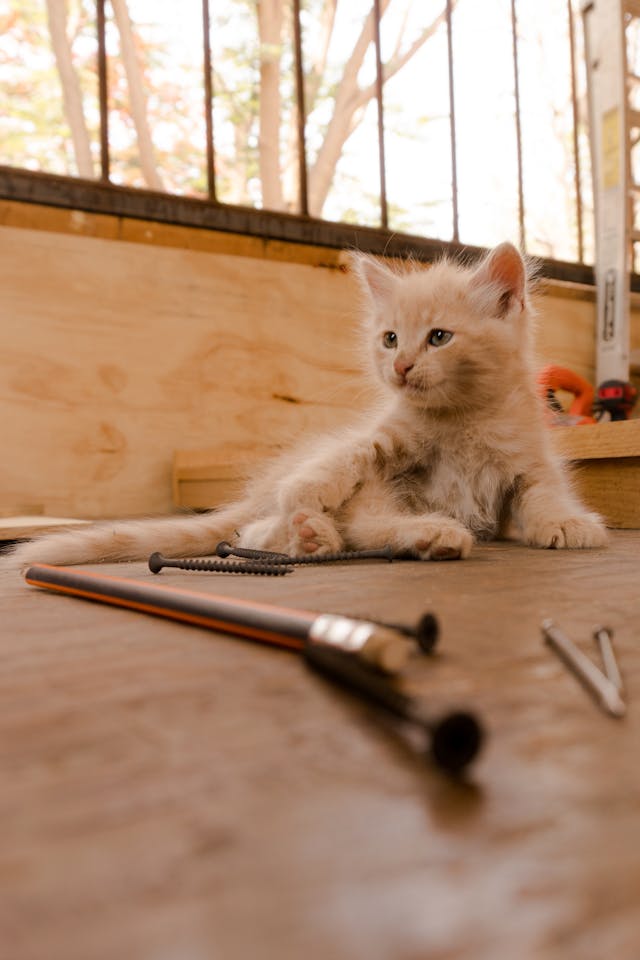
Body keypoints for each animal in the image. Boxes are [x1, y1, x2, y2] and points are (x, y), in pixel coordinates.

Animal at [5, 240, 608, 568]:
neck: (461, 419)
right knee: (270, 531)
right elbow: (352, 455)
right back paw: (337, 531)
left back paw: (380, 537)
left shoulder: (529, 460)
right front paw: (309, 490)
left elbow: (544, 494)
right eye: (390, 338)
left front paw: (568, 524)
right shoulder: (385, 439)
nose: (400, 367)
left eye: (438, 338)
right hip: (379, 492)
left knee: (358, 529)